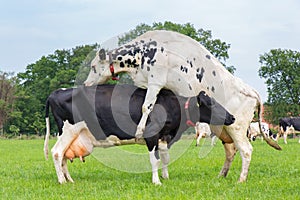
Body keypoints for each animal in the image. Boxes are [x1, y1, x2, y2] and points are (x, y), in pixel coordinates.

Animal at [43, 83, 234, 184]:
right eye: (211, 104)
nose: (232, 117)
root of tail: (57, 92)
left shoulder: (164, 138)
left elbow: (165, 159)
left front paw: (165, 177)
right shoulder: (151, 136)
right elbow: (154, 160)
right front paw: (156, 181)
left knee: (64, 156)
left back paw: (69, 180)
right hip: (68, 130)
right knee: (57, 153)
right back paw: (62, 181)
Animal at [84, 30, 282, 183]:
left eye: (93, 66)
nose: (86, 84)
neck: (142, 54)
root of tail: (251, 90)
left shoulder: (155, 81)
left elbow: (146, 106)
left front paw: (140, 130)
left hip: (237, 127)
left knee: (246, 150)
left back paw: (241, 179)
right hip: (222, 129)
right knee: (231, 150)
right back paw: (221, 176)